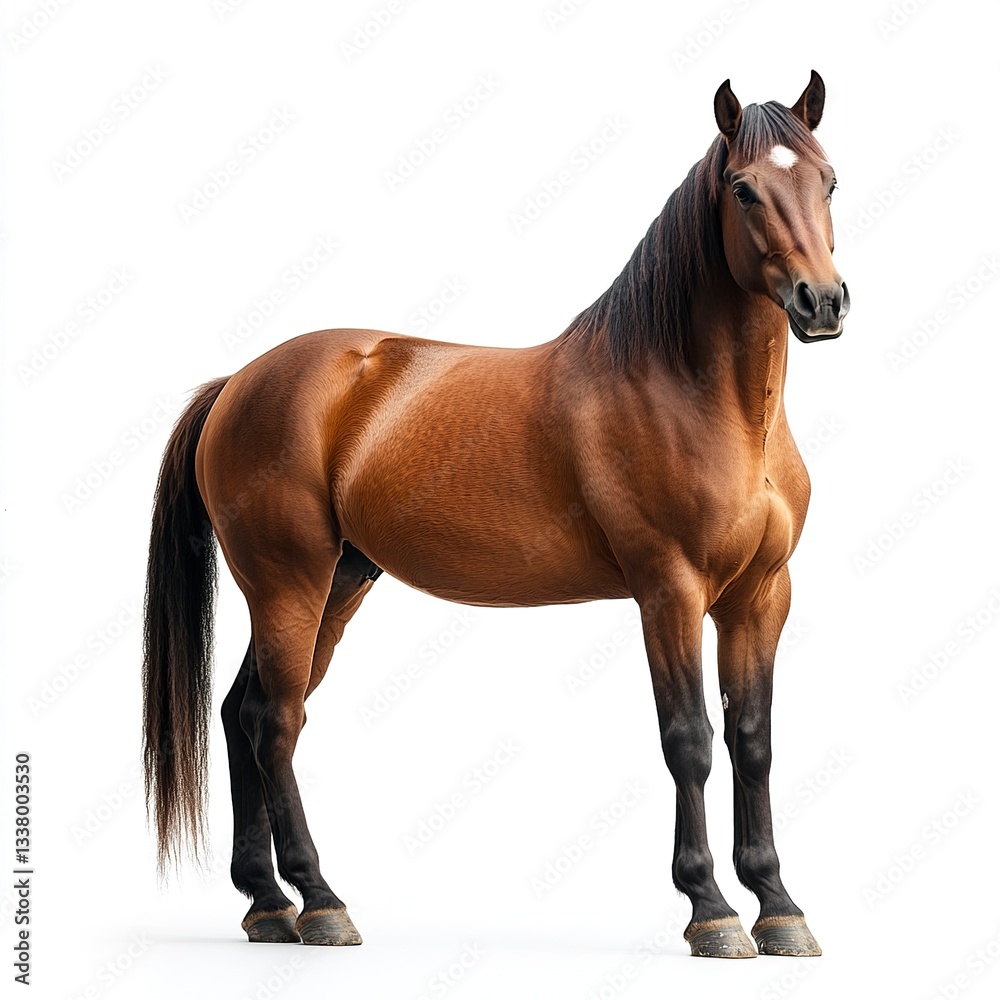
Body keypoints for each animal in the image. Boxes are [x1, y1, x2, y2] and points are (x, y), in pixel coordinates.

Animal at [143, 70, 848, 959]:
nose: (822, 302)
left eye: (829, 180)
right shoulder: (669, 591)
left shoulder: (761, 596)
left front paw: (780, 907)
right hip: (286, 585)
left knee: (245, 714)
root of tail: (237, 382)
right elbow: (688, 740)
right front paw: (711, 910)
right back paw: (322, 901)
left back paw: (268, 904)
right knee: (275, 722)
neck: (689, 391)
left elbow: (752, 741)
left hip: (338, 584)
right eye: (744, 187)